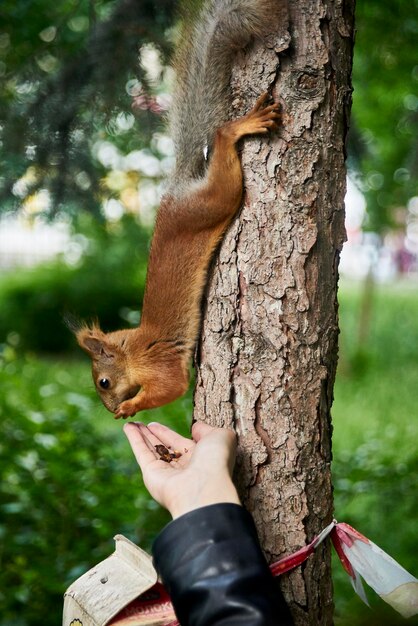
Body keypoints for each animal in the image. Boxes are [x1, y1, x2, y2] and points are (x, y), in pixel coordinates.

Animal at [72, 2, 280, 420]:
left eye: (103, 382)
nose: (108, 410)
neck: (133, 349)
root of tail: (176, 190)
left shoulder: (159, 364)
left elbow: (171, 388)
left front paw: (130, 407)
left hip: (216, 199)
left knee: (222, 143)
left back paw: (241, 126)